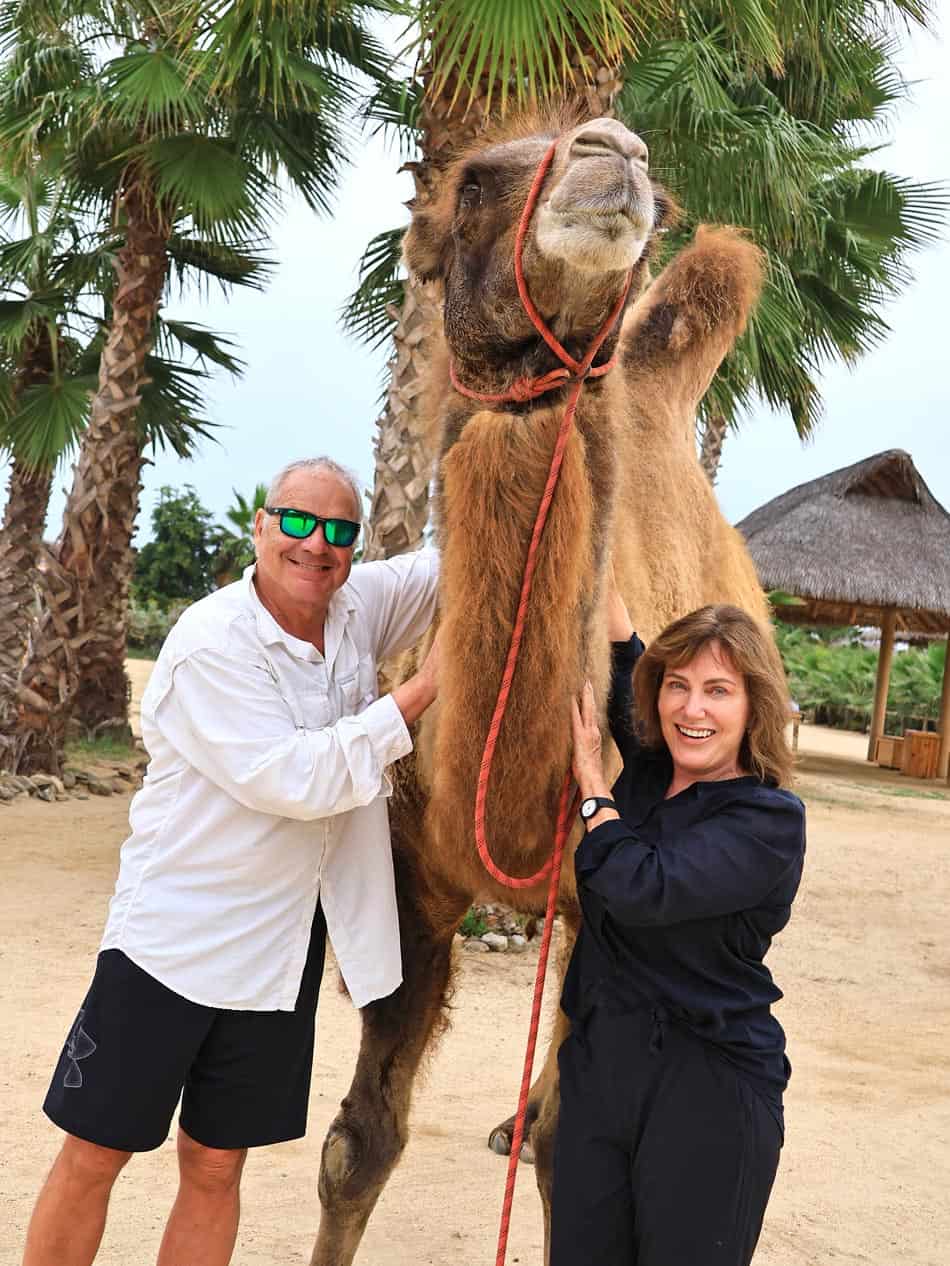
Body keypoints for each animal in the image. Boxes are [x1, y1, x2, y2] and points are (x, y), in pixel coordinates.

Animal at [311, 111, 769, 1265]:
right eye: (474, 180)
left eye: (658, 184)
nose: (618, 154)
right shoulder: (413, 882)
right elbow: (357, 1143)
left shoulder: (602, 897)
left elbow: (581, 1157)